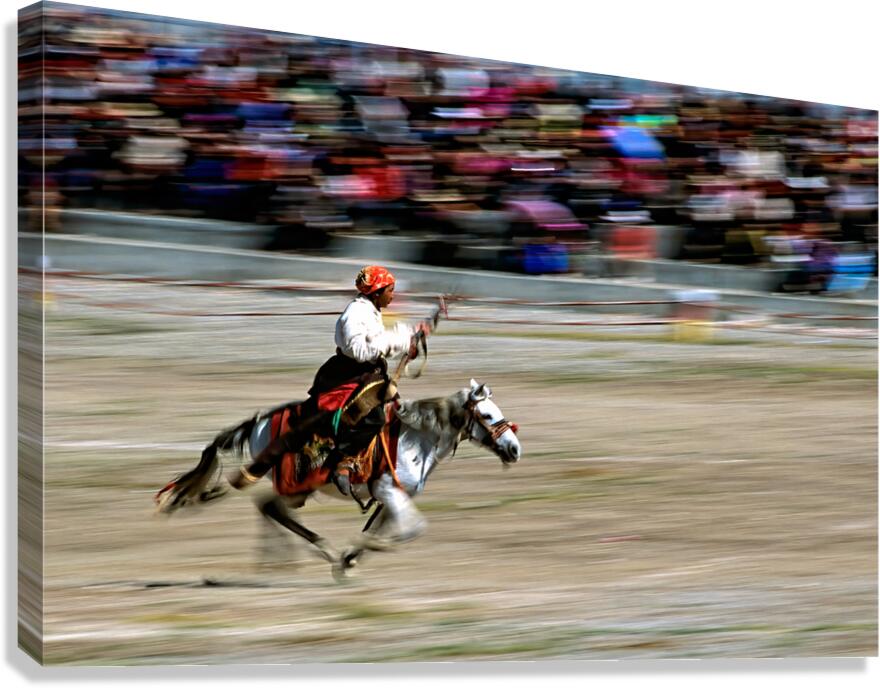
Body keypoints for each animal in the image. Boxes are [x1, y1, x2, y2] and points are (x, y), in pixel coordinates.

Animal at [156, 379, 521, 579]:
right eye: (487, 414)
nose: (514, 449)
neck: (416, 441)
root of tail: (259, 422)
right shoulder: (389, 491)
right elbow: (411, 530)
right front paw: (363, 550)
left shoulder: (394, 498)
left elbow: (385, 529)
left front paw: (351, 557)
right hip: (296, 484)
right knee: (270, 507)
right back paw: (317, 552)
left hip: (297, 489)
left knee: (269, 507)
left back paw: (297, 556)